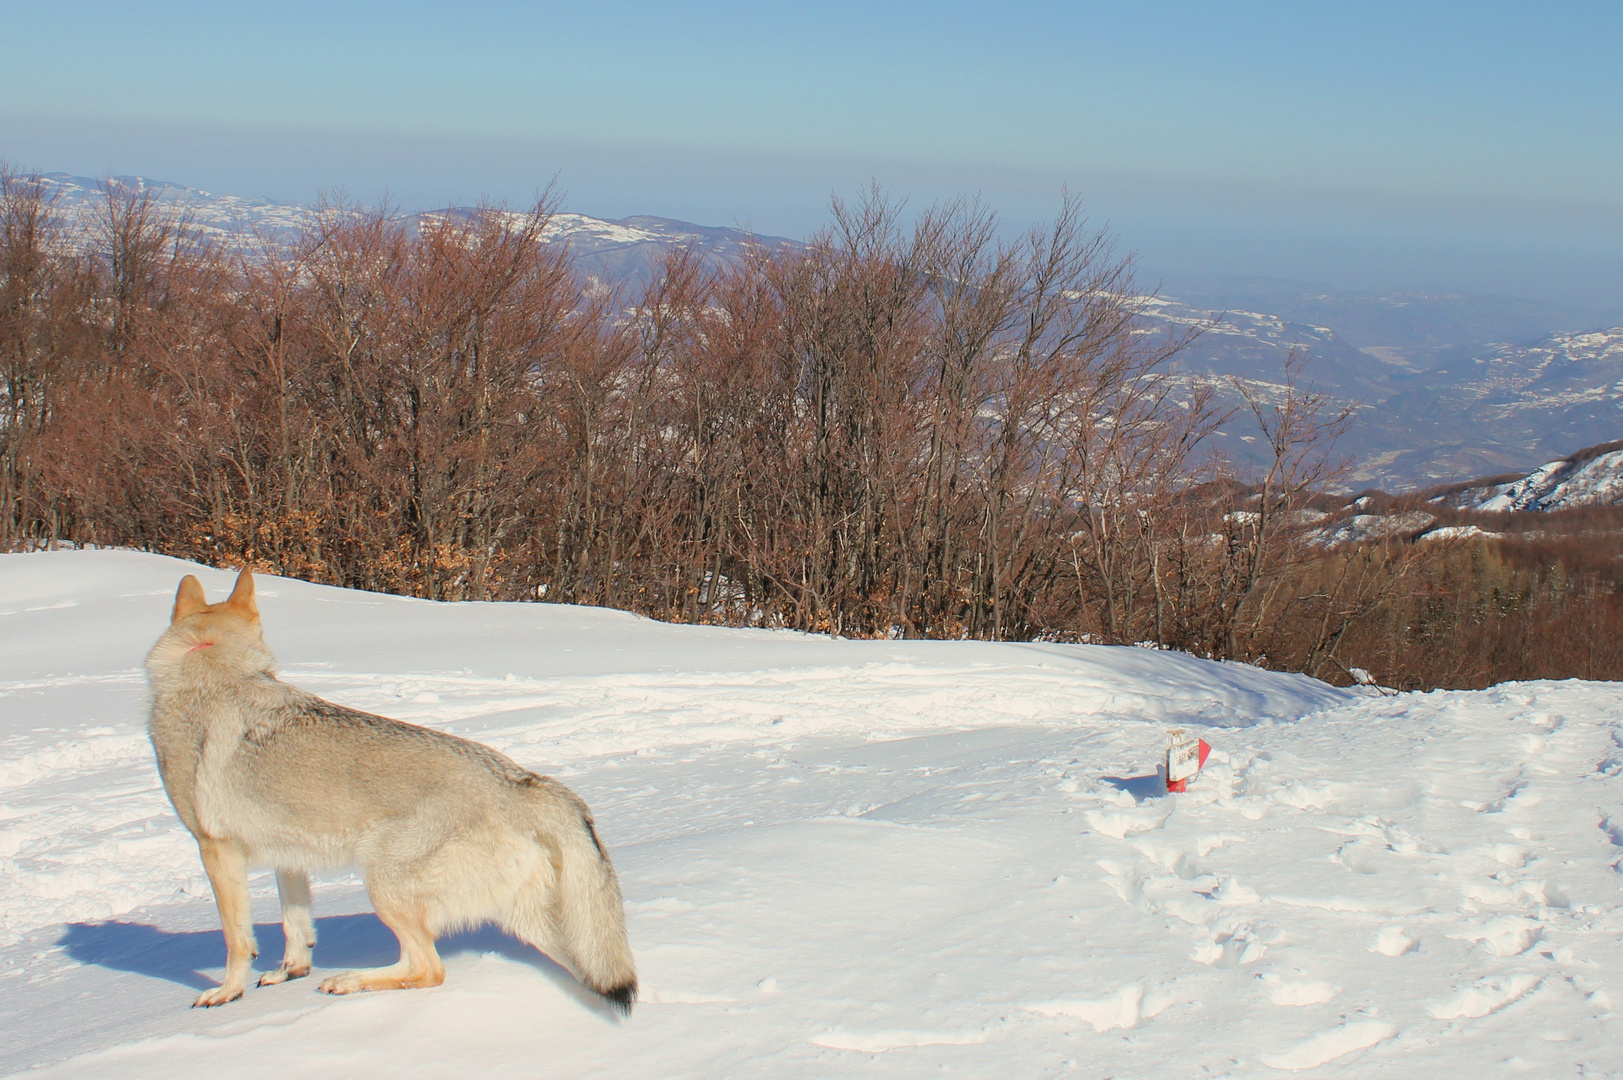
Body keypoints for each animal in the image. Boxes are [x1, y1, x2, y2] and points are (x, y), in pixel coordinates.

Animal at [146, 571, 636, 1013]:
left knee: (430, 969)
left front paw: (226, 993)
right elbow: (296, 927)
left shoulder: (216, 849)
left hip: (382, 884)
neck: (210, 667)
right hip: (535, 923)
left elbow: (236, 939)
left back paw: (347, 981)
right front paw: (290, 971)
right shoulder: (290, 856)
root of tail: (518, 780)